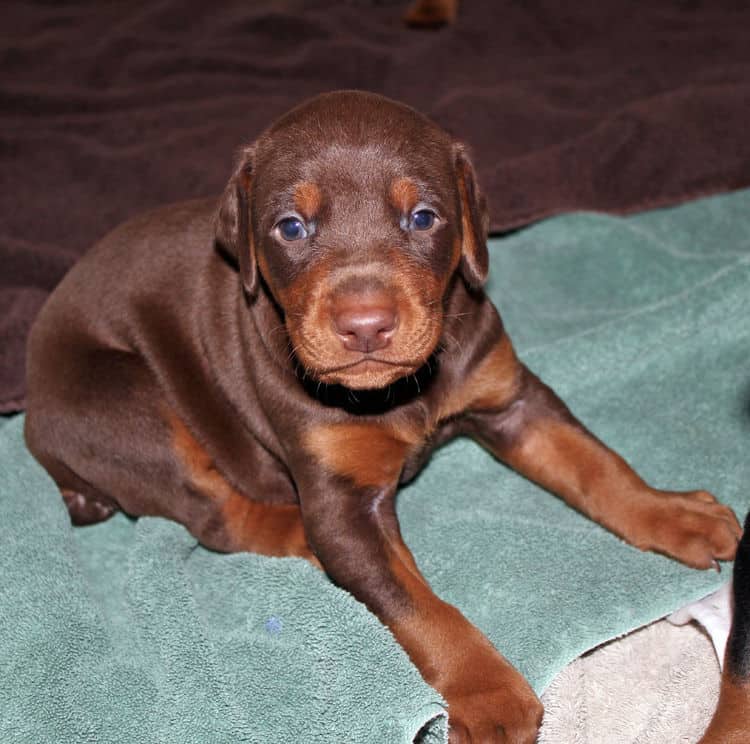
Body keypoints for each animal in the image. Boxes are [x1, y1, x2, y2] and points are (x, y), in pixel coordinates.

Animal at [26, 90, 744, 740]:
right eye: (291, 227)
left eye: (423, 217)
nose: (365, 324)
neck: (399, 392)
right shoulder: (343, 502)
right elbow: (421, 608)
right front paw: (490, 695)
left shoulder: (509, 399)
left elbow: (594, 462)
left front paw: (673, 512)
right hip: (124, 404)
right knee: (216, 516)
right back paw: (299, 536)